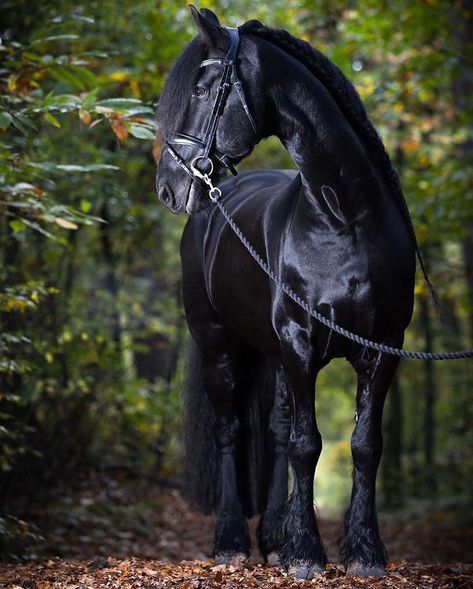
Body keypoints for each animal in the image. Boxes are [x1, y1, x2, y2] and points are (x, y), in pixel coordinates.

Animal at [156, 4, 416, 580]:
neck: (344, 218)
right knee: (231, 433)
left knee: (274, 434)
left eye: (204, 89)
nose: (169, 186)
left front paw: (363, 553)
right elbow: (306, 444)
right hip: (218, 344)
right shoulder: (301, 343)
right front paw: (307, 556)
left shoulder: (383, 349)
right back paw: (232, 542)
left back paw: (274, 538)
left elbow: (363, 445)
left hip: (273, 354)